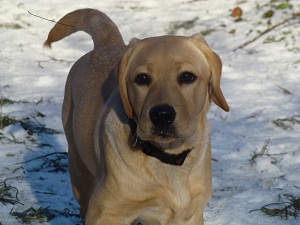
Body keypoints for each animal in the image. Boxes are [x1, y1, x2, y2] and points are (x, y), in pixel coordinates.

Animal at [43, 7, 229, 224]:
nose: (161, 115)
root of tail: (107, 44)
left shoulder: (190, 215)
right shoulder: (105, 213)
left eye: (187, 76)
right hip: (79, 168)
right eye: (142, 79)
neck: (165, 159)